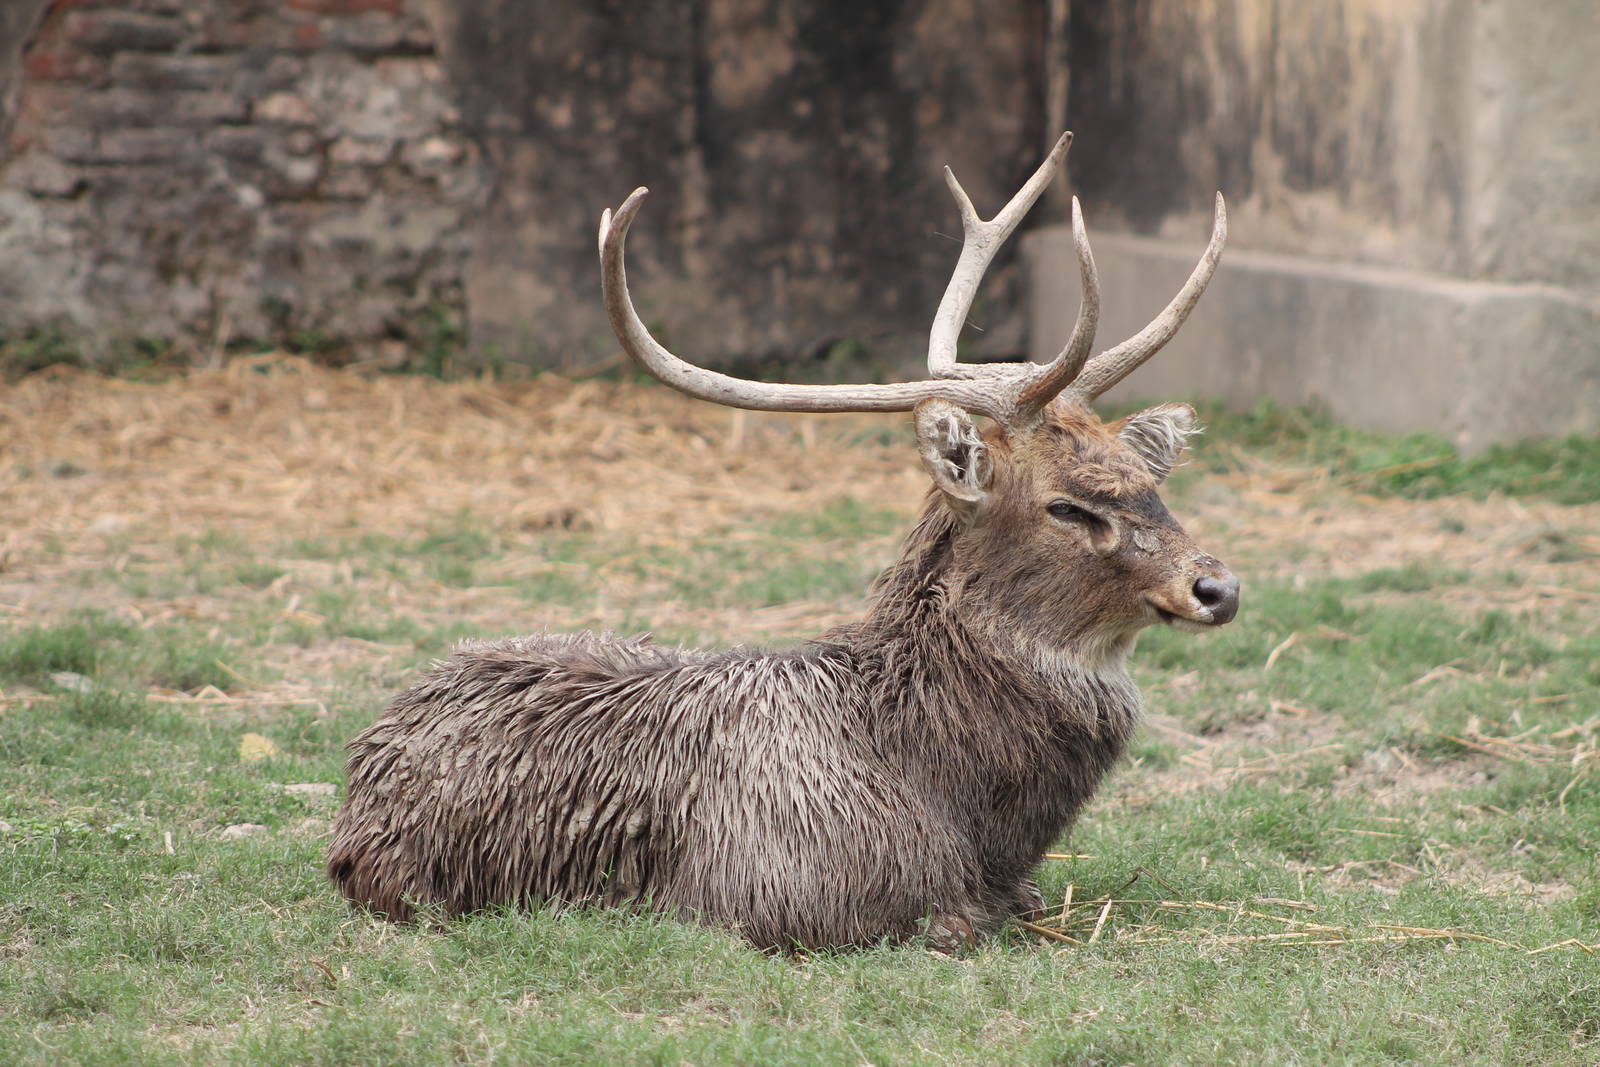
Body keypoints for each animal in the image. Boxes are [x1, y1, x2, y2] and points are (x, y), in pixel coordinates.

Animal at [327, 132, 1238, 952]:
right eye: (1066, 506)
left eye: (1146, 478)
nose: (1217, 586)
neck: (959, 812)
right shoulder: (772, 898)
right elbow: (950, 928)